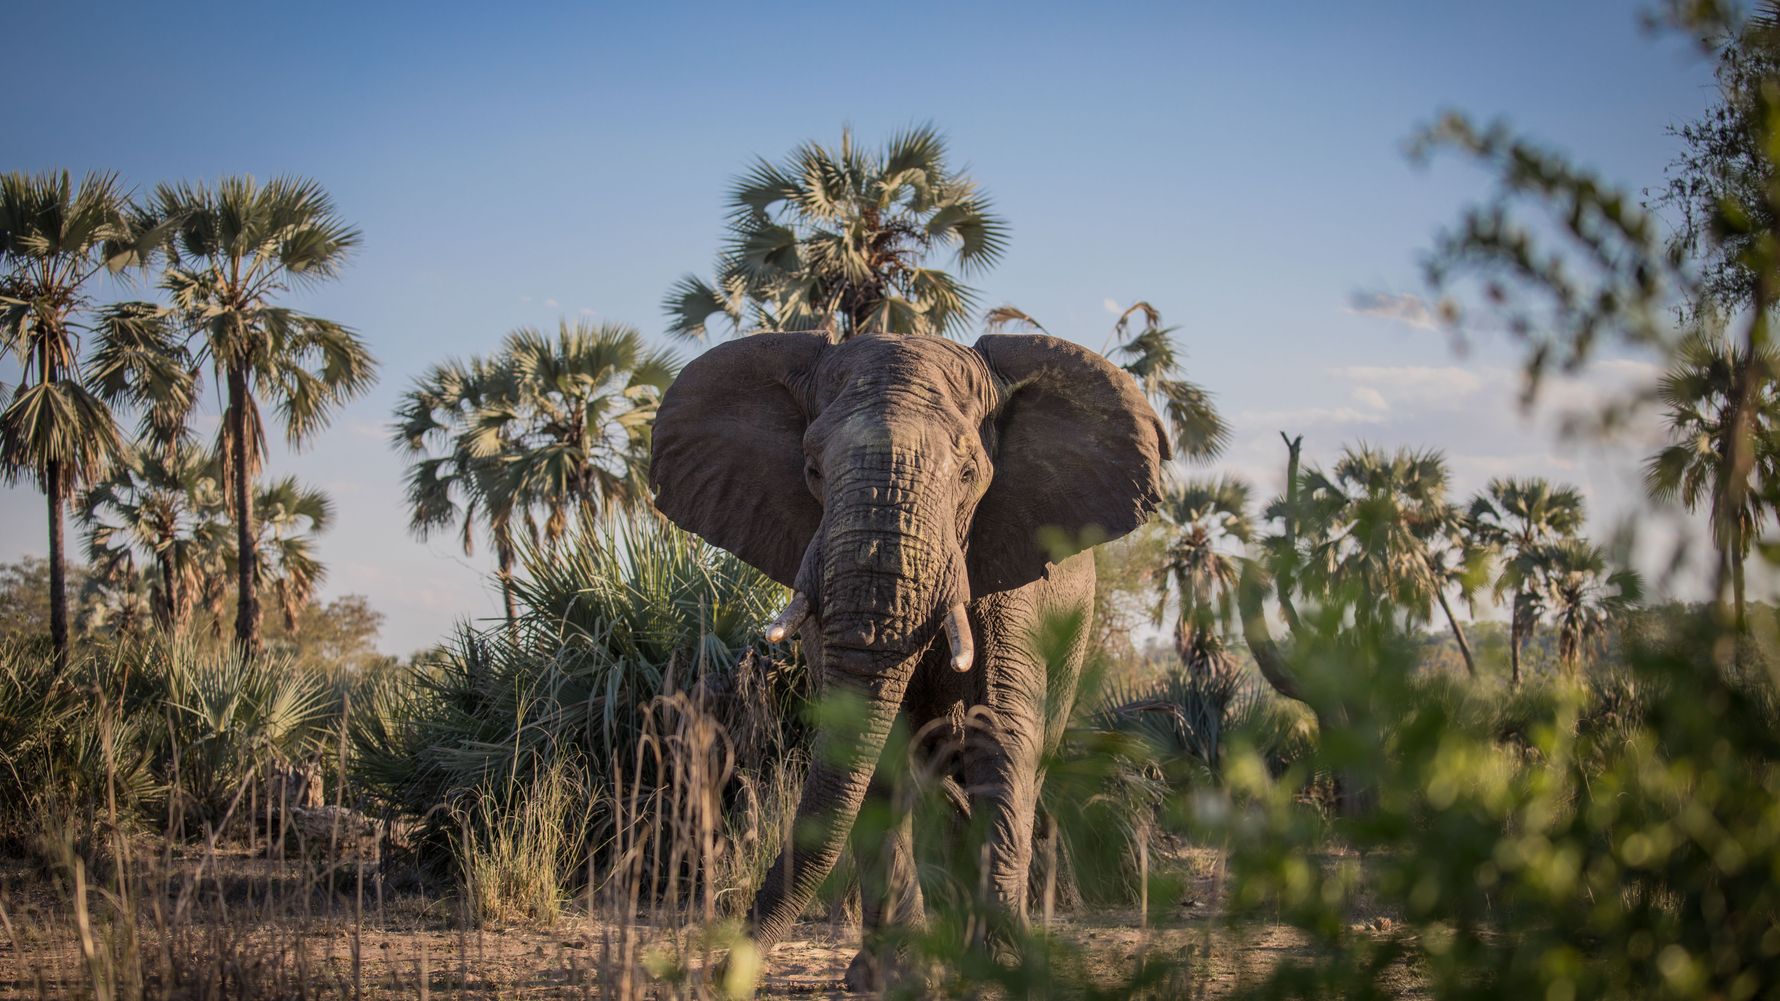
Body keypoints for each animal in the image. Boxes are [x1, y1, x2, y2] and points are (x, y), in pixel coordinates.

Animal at [649, 330, 1169, 989]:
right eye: (812, 469)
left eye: (969, 473)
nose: (719, 972)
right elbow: (872, 753)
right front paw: (894, 980)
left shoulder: (1011, 571)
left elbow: (998, 735)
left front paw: (1000, 966)